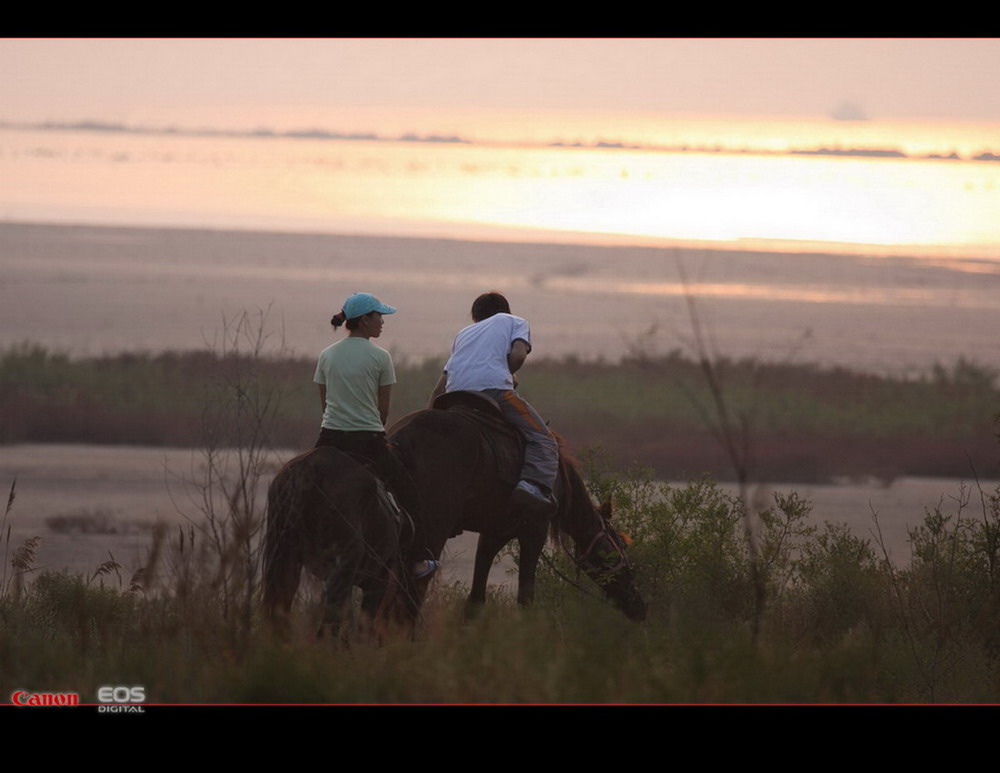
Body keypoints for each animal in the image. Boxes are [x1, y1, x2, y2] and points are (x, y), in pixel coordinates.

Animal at [264, 444, 412, 636]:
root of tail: (311, 469)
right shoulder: (378, 579)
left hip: (285, 557)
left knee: (279, 608)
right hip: (343, 568)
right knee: (329, 620)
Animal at [386, 392, 644, 620]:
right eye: (621, 545)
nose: (638, 604)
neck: (559, 482)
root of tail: (400, 440)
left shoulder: (494, 532)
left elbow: (475, 600)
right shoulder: (535, 529)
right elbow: (526, 599)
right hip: (431, 533)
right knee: (410, 594)